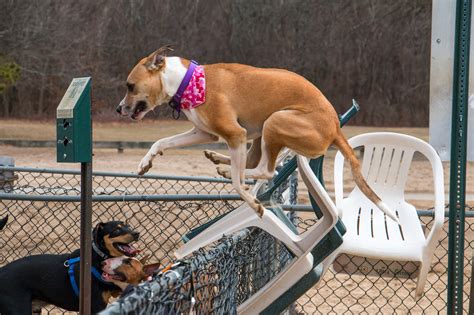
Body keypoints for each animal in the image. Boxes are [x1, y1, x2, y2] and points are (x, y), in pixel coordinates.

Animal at [0, 221, 141, 314]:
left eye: (129, 226)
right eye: (117, 230)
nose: (137, 233)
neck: (99, 257)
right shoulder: (96, 305)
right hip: (18, 309)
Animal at [116, 46, 398, 222]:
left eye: (130, 86)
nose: (119, 109)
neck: (187, 82)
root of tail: (336, 127)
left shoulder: (235, 134)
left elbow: (238, 184)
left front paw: (254, 205)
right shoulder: (205, 133)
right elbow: (162, 141)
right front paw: (145, 163)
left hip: (274, 122)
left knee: (265, 169)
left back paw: (227, 168)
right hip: (261, 132)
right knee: (253, 162)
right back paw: (219, 160)